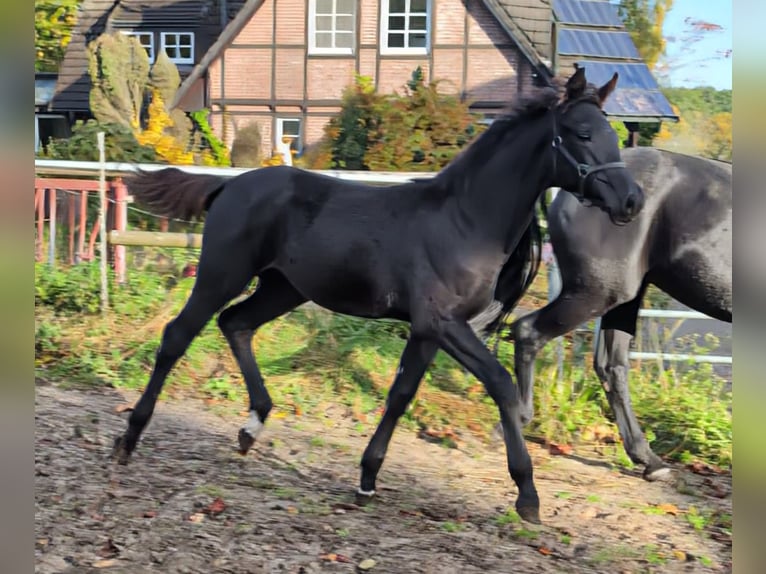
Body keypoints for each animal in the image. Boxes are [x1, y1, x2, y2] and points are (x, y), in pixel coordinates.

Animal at [114, 65, 640, 524]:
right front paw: (527, 496)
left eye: (614, 136)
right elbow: (501, 384)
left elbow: (401, 393)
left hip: (284, 288)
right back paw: (129, 438)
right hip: (221, 273)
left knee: (236, 323)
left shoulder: (427, 330)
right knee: (178, 335)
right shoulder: (444, 323)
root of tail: (228, 185)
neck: (464, 220)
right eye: (583, 134)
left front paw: (367, 477)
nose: (632, 200)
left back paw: (251, 426)